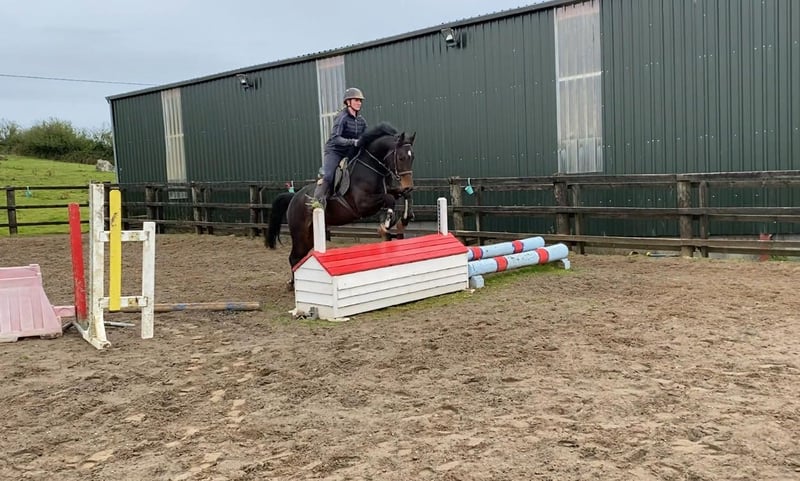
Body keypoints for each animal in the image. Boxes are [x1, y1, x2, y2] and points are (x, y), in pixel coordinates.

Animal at [266, 122, 416, 284]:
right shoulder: (363, 204)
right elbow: (389, 199)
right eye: (401, 158)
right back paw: (292, 285)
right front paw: (386, 224)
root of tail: (293, 197)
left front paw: (404, 219)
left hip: (311, 236)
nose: (409, 185)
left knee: (299, 257)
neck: (371, 168)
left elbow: (403, 195)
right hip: (300, 233)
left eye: (412, 157)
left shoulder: (388, 191)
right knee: (294, 257)